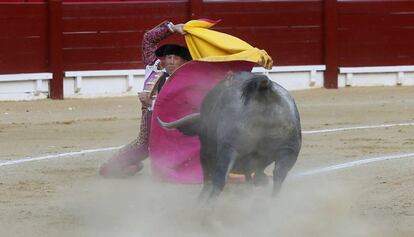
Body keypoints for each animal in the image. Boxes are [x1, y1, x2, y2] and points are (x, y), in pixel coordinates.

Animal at [158, 71, 300, 198]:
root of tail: (263, 88)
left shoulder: (205, 153)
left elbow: (208, 178)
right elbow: (251, 175)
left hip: (228, 149)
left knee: (219, 180)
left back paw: (206, 208)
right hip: (290, 149)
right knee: (279, 176)